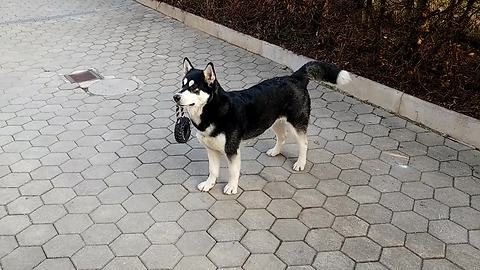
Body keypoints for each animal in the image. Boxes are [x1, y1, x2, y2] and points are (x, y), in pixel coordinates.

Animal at [174, 58, 350, 194]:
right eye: (183, 85)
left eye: (194, 88)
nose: (176, 96)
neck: (214, 110)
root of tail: (294, 78)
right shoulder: (211, 148)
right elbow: (213, 170)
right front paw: (209, 184)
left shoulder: (231, 149)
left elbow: (233, 171)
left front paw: (232, 187)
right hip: (273, 121)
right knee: (283, 137)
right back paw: (276, 151)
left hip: (296, 123)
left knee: (304, 143)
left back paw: (300, 163)